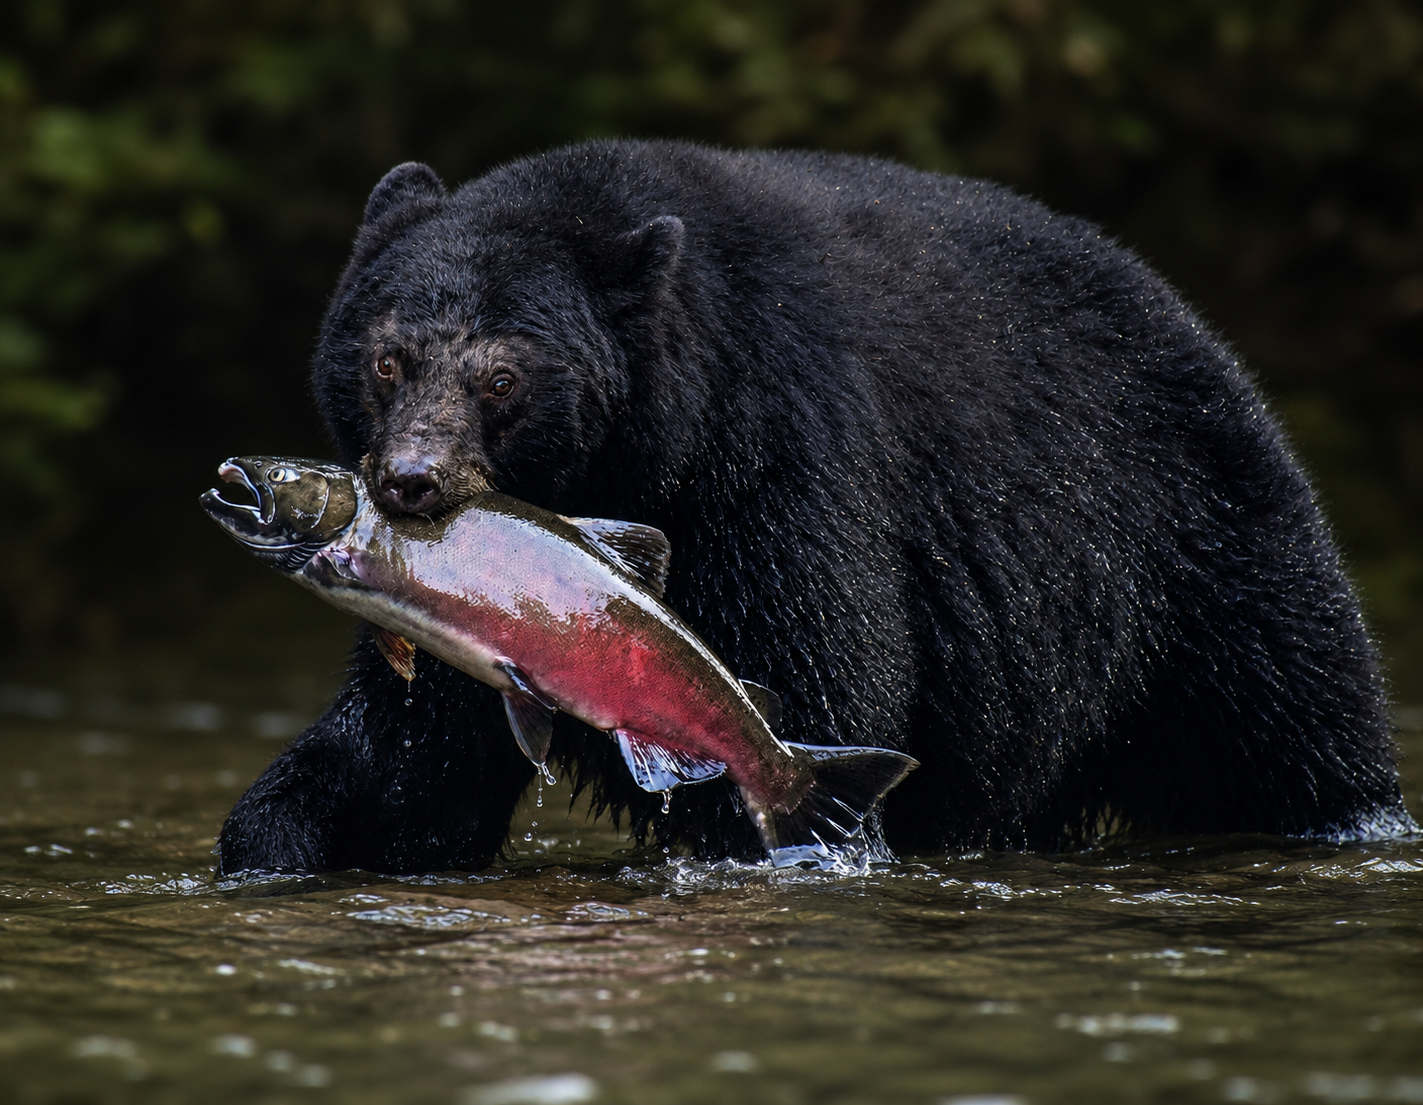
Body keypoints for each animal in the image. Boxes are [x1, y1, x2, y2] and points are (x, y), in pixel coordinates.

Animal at [215, 139, 1414, 876]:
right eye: (386, 358)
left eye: (503, 377)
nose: (410, 481)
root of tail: (1201, 327)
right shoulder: (488, 619)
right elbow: (404, 755)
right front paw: (275, 842)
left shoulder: (775, 458)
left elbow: (813, 665)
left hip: (1192, 537)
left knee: (1293, 702)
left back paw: (1352, 812)